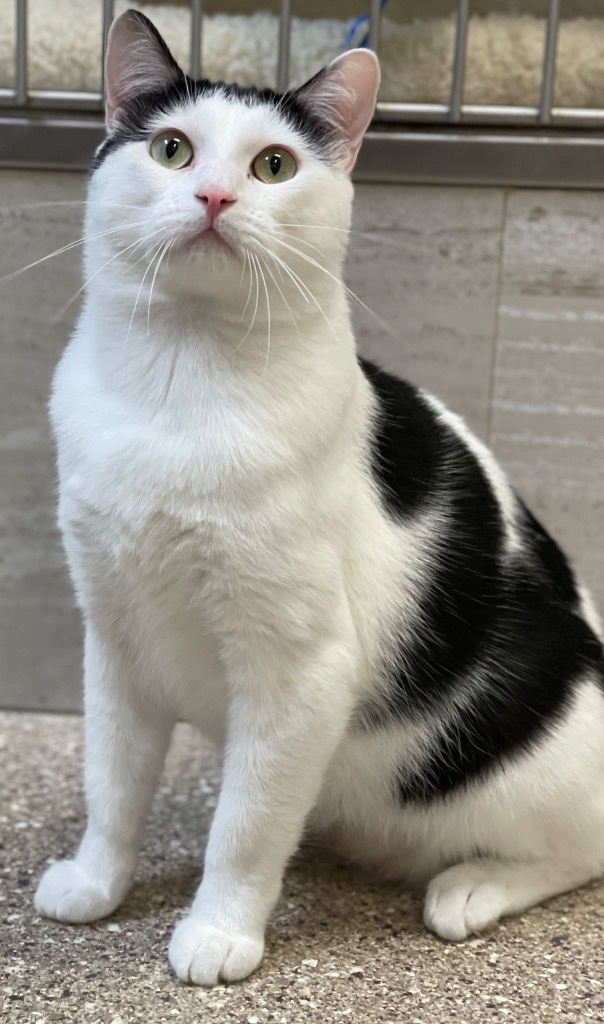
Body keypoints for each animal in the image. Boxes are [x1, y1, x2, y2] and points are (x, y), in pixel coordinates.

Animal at [34, 6, 604, 983]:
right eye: (172, 149)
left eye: (273, 165)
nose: (214, 197)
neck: (183, 380)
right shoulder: (114, 635)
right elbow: (111, 779)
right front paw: (96, 880)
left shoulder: (300, 670)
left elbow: (247, 823)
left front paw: (220, 930)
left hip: (534, 752)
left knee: (574, 849)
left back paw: (471, 887)